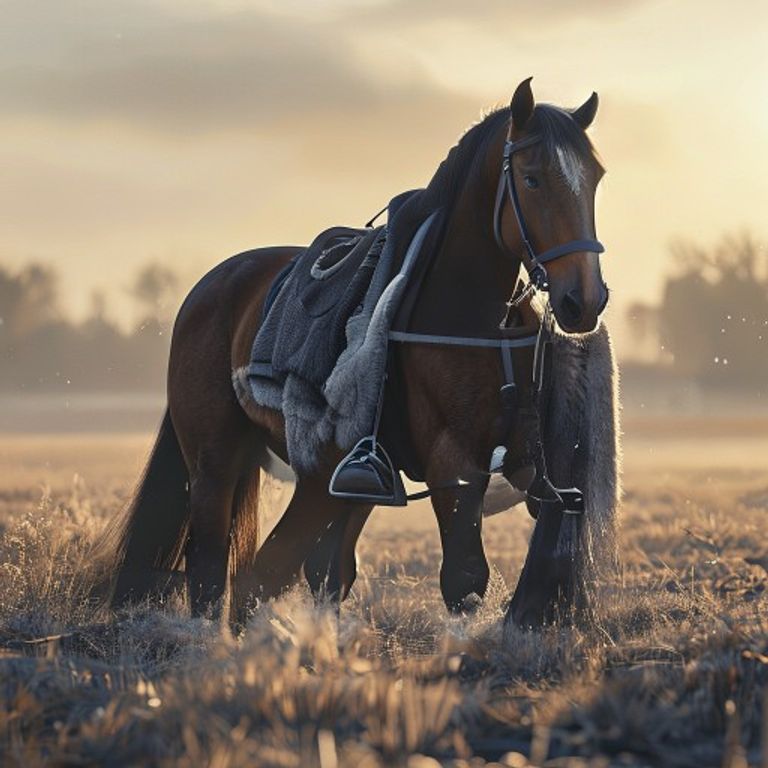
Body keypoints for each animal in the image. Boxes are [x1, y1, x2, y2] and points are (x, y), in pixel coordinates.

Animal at [104, 78, 613, 630]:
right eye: (532, 178)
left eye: (595, 179)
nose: (583, 301)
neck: (468, 312)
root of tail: (206, 290)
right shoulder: (453, 465)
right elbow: (464, 580)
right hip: (215, 462)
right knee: (217, 566)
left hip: (330, 483)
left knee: (302, 570)